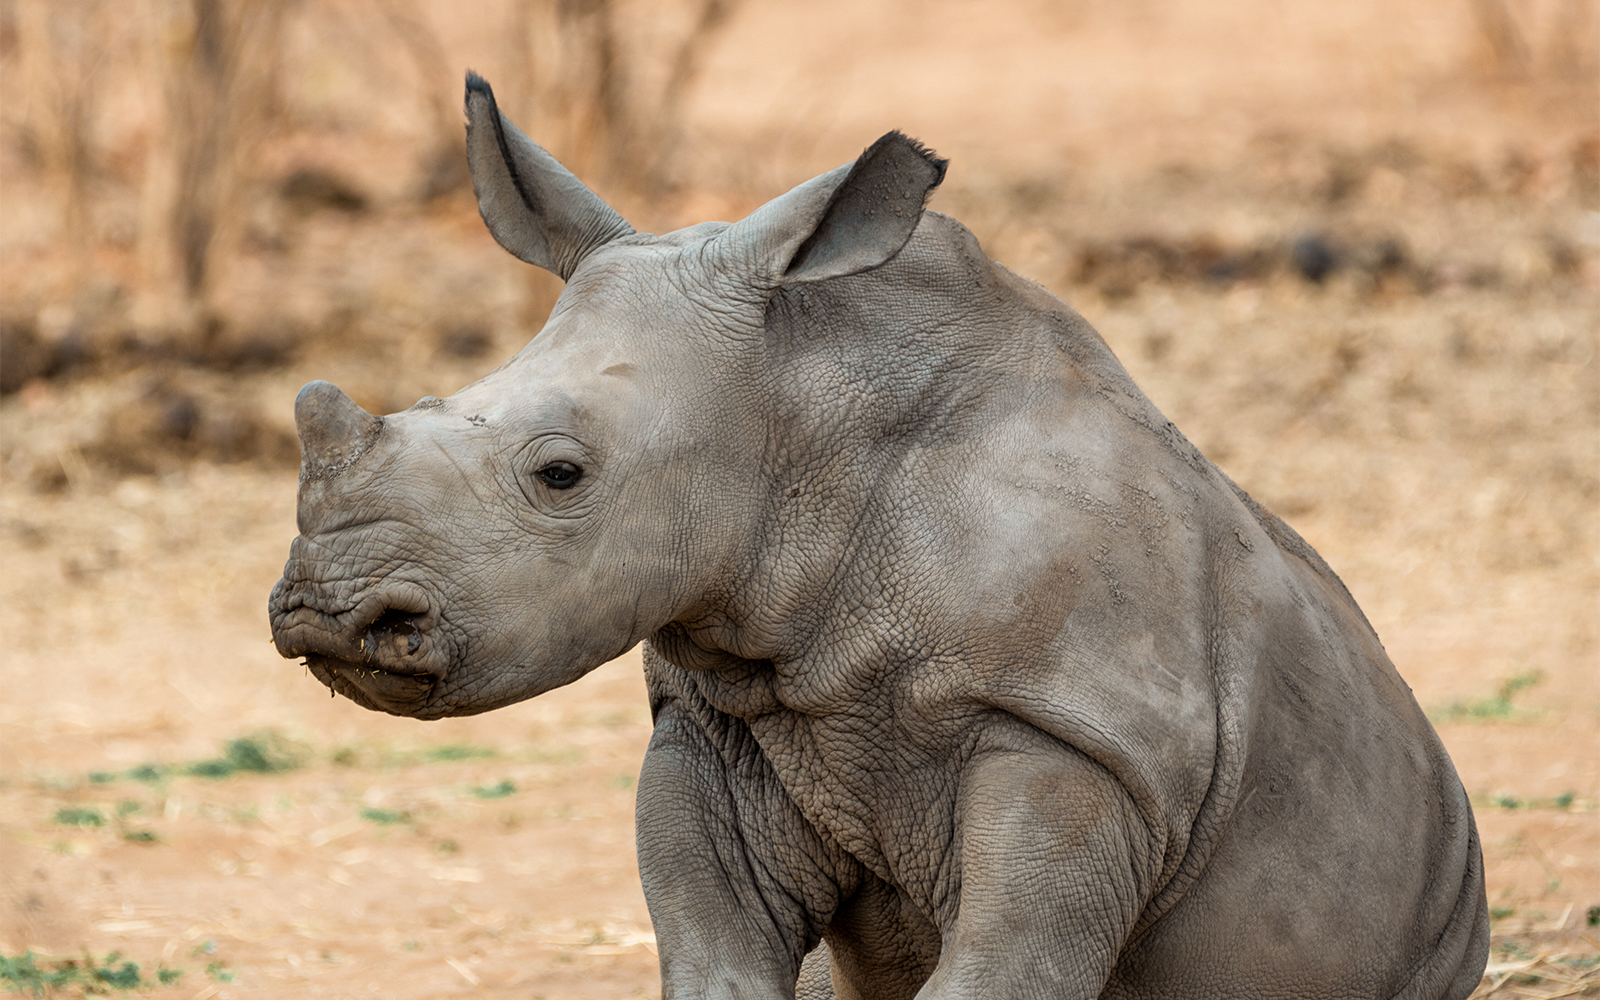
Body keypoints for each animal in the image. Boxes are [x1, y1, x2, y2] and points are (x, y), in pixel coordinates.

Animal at [268, 73, 1490, 999]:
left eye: (560, 475)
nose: (327, 612)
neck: (807, 432)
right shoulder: (724, 720)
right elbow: (717, 963)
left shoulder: (1080, 736)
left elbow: (1001, 971)